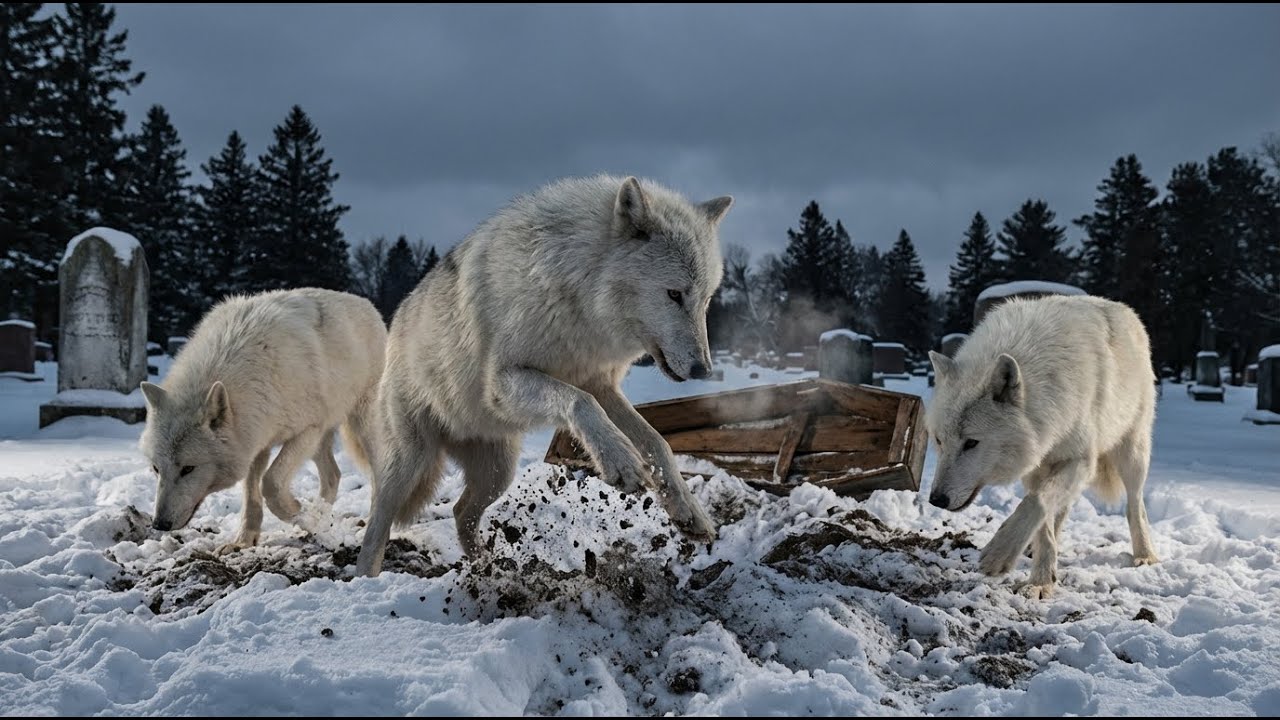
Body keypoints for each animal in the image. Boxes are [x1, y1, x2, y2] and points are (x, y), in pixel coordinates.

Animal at [139, 288, 386, 552]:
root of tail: (366, 303)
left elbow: (271, 483)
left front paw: (302, 515)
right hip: (320, 442)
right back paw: (321, 520)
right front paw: (244, 540)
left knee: (377, 473)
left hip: (357, 427)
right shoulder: (255, 439)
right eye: (156, 469)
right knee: (333, 476)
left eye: (188, 469)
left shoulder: (307, 431)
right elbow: (251, 492)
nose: (159, 524)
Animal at [355, 175, 733, 576]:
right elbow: (581, 403)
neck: (581, 298)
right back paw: (366, 577)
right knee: (377, 523)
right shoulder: (506, 382)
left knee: (461, 511)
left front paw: (689, 511)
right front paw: (622, 463)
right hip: (408, 464)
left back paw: (487, 567)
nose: (703, 369)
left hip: (498, 473)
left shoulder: (602, 385)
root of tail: (397, 320)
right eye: (674, 294)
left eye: (706, 299)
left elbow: (657, 441)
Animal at [926, 295, 1159, 598]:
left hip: (1132, 454)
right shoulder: (1034, 464)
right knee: (1062, 507)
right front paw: (1041, 578)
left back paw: (1145, 555)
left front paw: (1001, 555)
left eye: (971, 443)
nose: (936, 500)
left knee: (1135, 505)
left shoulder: (1080, 459)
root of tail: (1122, 308)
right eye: (939, 441)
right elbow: (1041, 515)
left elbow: (1036, 502)